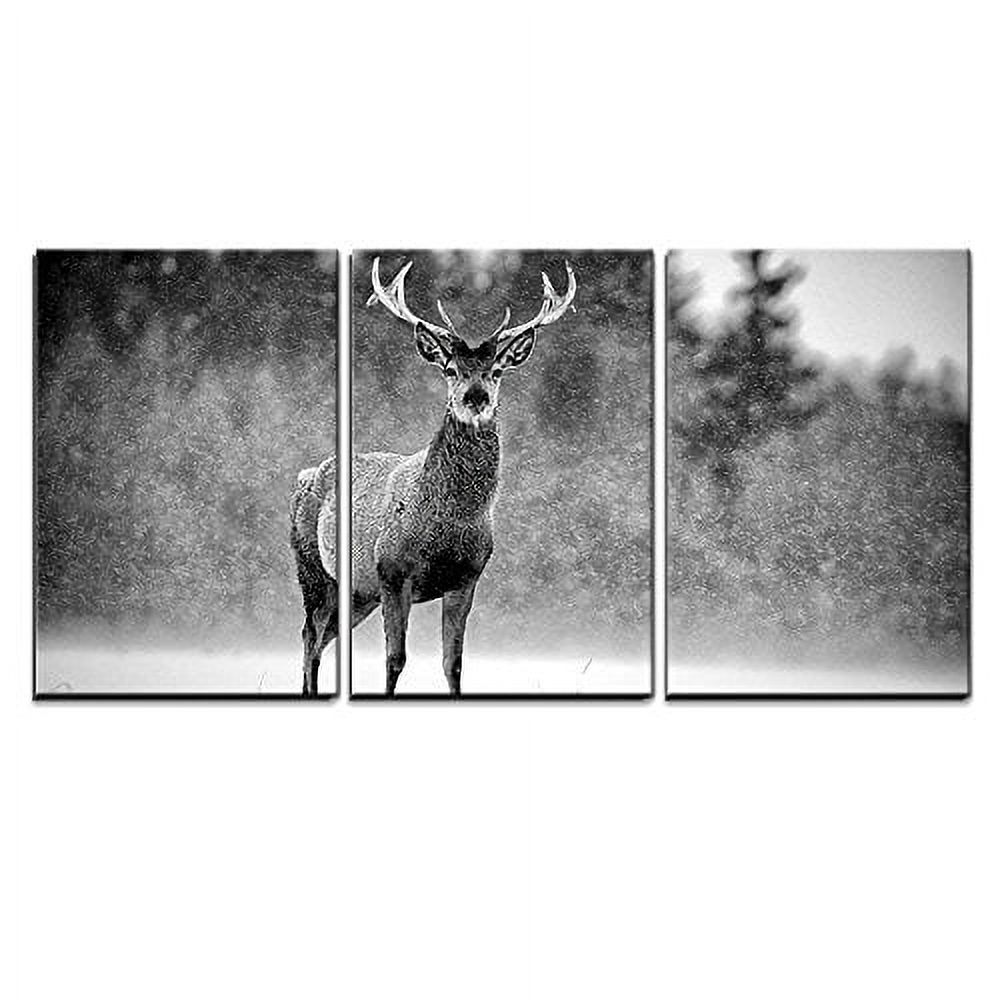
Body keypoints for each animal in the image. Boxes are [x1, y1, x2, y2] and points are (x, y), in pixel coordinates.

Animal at [290, 256, 577, 696]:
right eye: (450, 369)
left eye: (496, 371)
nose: (475, 398)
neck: (448, 521)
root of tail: (304, 476)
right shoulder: (392, 572)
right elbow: (395, 659)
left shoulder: (466, 579)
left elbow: (452, 663)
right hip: (313, 569)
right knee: (309, 637)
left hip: (356, 593)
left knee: (321, 639)